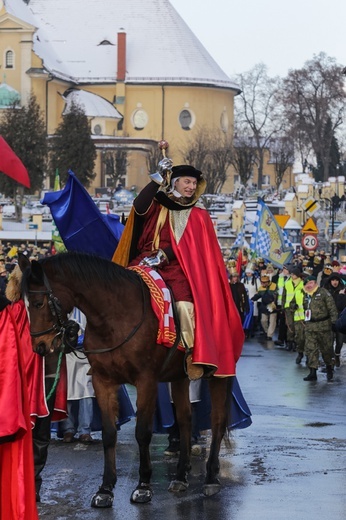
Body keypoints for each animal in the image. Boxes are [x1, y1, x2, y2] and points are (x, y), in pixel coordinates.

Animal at [18, 252, 232, 508]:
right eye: (24, 305)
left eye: (39, 304)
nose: (40, 346)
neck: (114, 318)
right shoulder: (103, 380)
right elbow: (109, 433)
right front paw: (105, 488)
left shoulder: (146, 380)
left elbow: (142, 432)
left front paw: (143, 486)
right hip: (179, 376)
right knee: (185, 420)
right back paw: (180, 476)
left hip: (218, 374)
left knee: (218, 420)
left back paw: (211, 478)